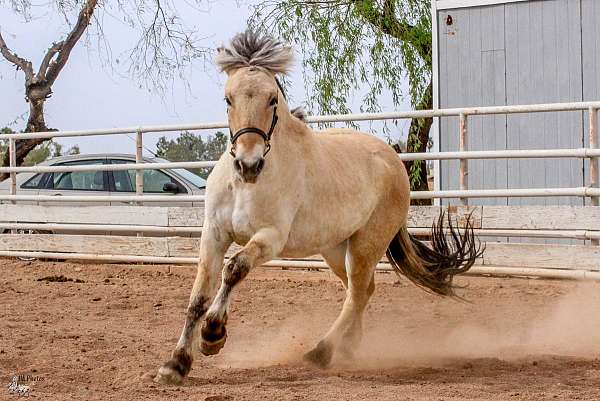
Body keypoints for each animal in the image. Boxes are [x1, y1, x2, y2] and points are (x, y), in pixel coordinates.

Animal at [156, 29, 482, 382]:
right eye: (228, 99)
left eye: (272, 99)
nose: (248, 164)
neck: (245, 186)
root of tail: (394, 160)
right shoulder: (214, 234)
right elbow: (198, 297)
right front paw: (175, 365)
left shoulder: (271, 238)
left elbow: (234, 269)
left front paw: (213, 335)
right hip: (336, 248)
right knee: (362, 290)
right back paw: (349, 347)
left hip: (366, 244)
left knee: (357, 293)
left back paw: (321, 352)